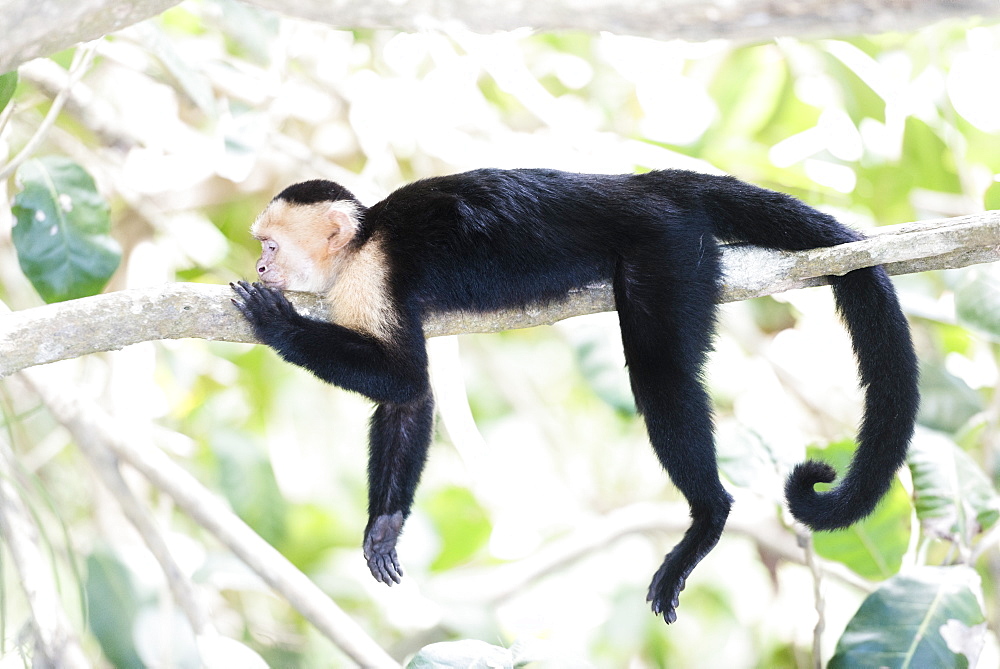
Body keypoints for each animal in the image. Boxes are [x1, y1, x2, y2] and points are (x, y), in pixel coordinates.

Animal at [230, 166, 916, 620]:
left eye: (270, 245)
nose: (261, 267)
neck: (358, 246)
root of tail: (642, 184)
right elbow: (409, 398)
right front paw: (386, 526)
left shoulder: (371, 276)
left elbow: (403, 376)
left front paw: (278, 325)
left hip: (665, 247)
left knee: (661, 375)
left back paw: (708, 516)